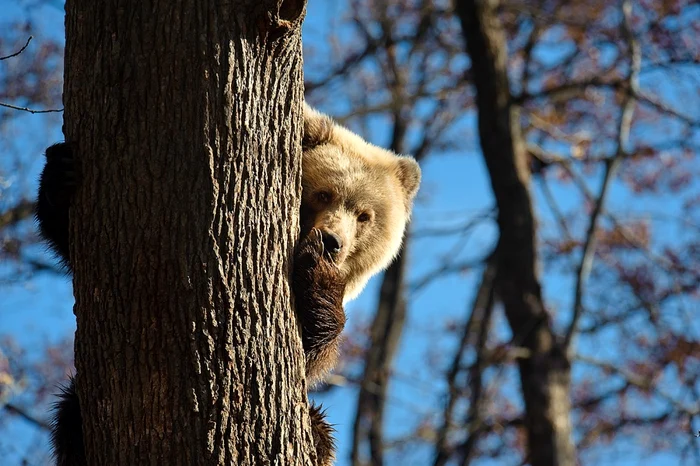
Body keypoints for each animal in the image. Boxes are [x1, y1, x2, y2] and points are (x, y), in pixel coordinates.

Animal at [37, 104, 422, 466]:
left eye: (364, 215)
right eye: (325, 193)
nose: (331, 242)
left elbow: (311, 350)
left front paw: (320, 273)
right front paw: (60, 173)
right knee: (69, 413)